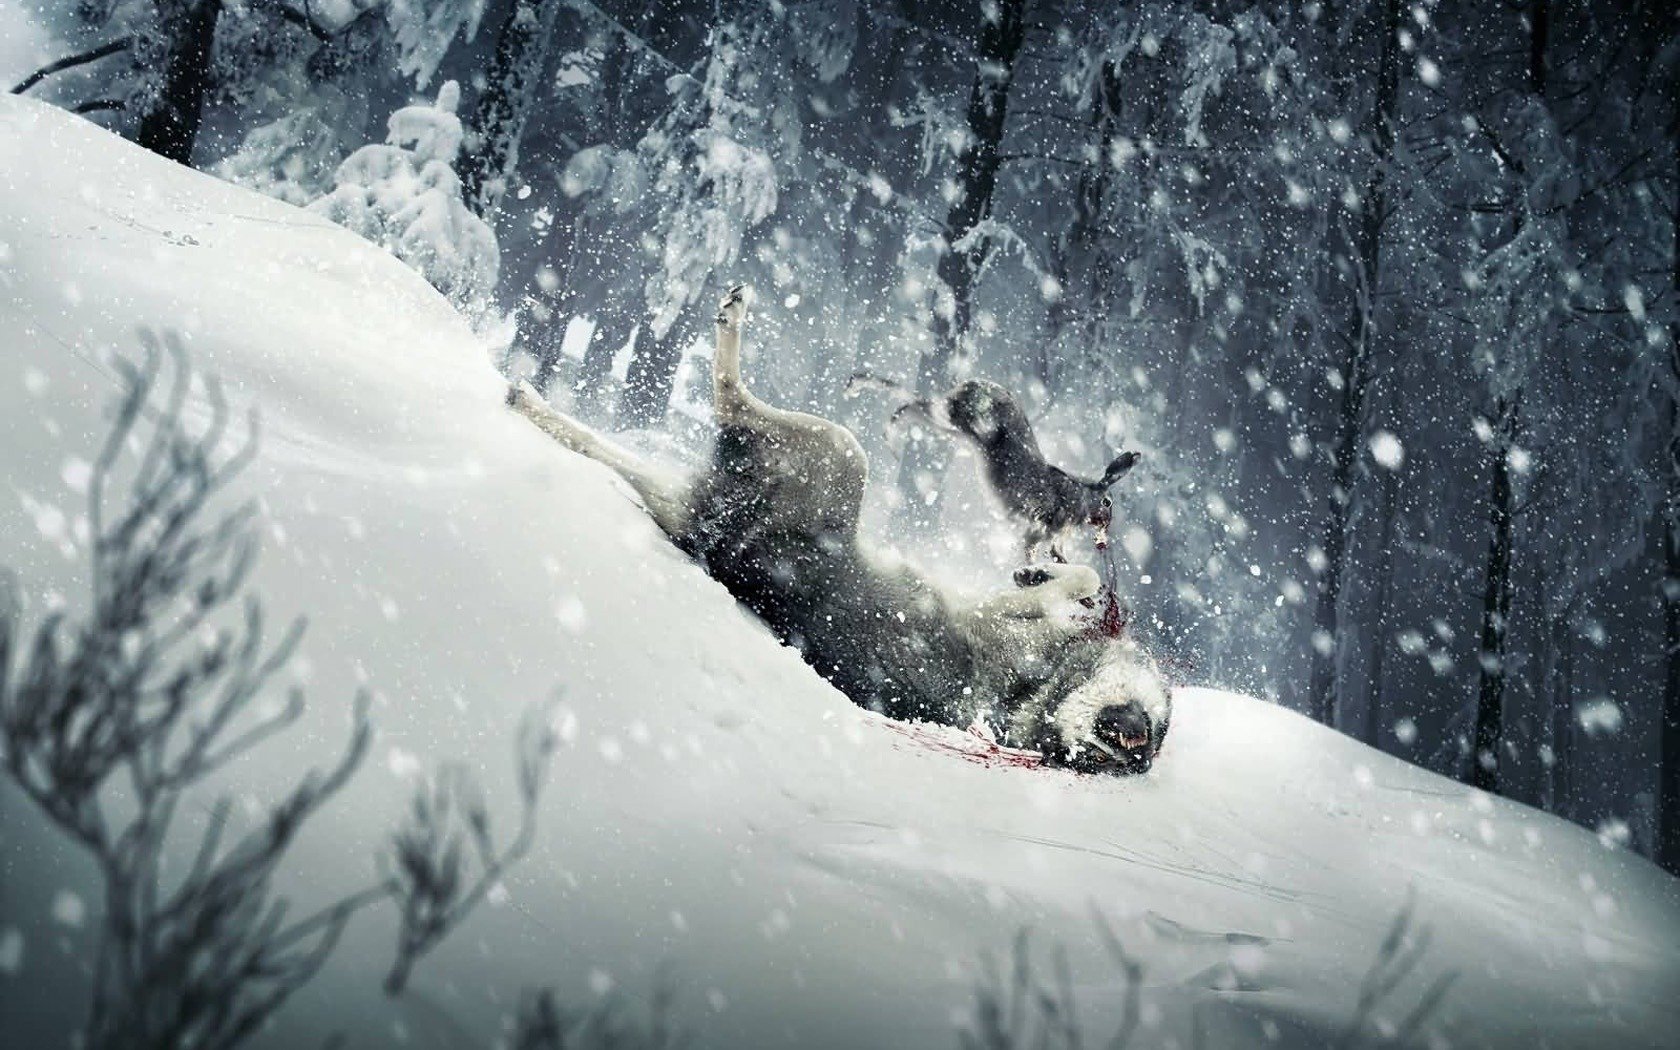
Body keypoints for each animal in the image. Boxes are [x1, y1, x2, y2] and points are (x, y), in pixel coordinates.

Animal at [508, 286, 1170, 773]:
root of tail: (715, 546)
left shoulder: (989, 614)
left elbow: (1070, 579)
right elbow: (1079, 574)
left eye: (1109, 753)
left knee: (723, 402)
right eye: (1125, 744)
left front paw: (1052, 580)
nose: (1125, 735)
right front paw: (1048, 575)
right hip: (834, 453)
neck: (1046, 689)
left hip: (840, 452)